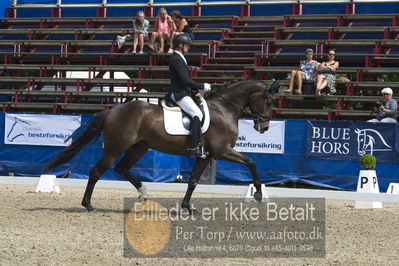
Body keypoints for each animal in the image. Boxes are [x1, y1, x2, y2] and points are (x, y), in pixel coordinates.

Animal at [46, 80, 278, 211]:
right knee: (96, 171)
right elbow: (252, 161)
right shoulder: (222, 151)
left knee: (122, 168)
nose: (264, 127)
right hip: (115, 148)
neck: (224, 109)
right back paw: (88, 205)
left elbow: (193, 181)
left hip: (139, 148)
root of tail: (113, 110)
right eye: (268, 101)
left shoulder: (206, 156)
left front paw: (187, 207)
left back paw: (144, 192)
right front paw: (258, 194)